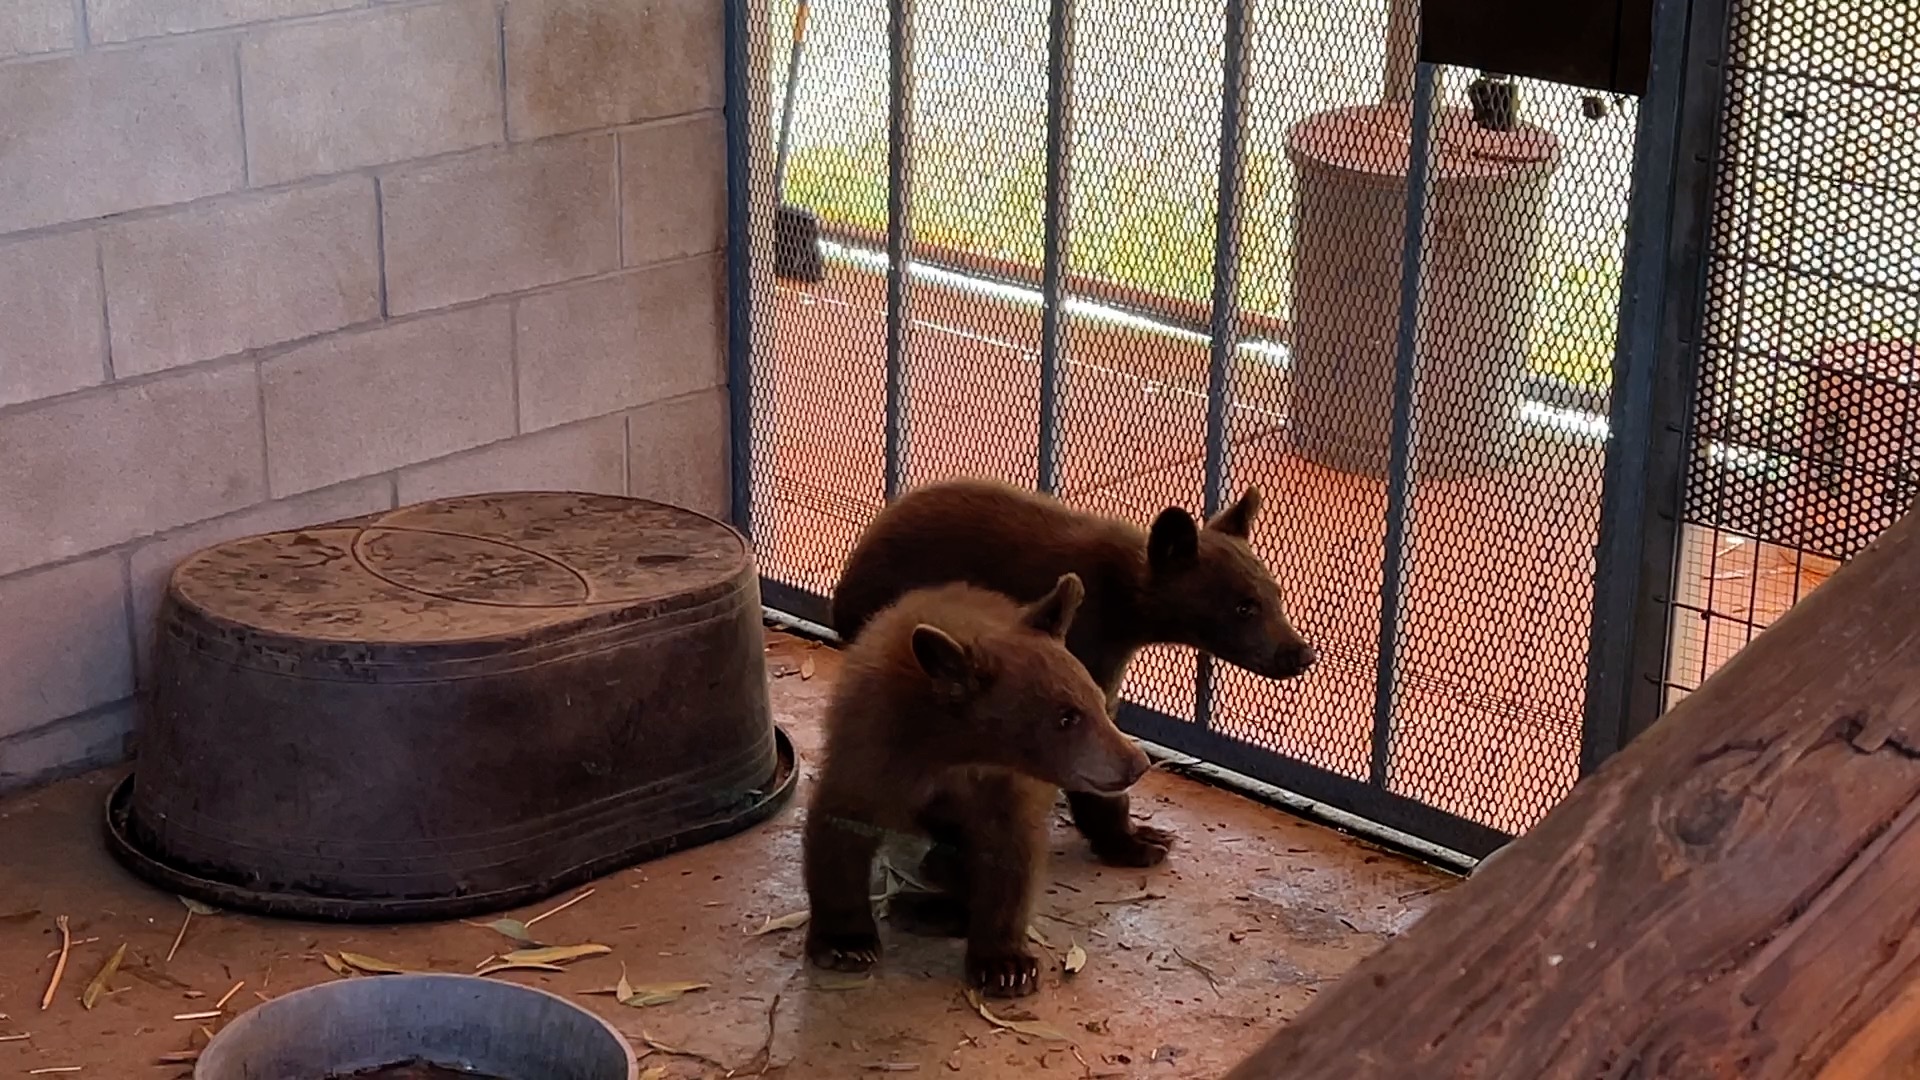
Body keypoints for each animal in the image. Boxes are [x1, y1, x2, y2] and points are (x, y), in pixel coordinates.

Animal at [803, 573, 1150, 997]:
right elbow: (841, 828)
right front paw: (846, 943)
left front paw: (1005, 965)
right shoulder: (873, 746)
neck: (953, 753)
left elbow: (1009, 855)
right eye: (1066, 717)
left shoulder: (1003, 788)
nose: (1136, 763)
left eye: (1097, 701)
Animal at [829, 477, 1314, 869]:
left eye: (1276, 594)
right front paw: (1136, 842)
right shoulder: (1085, 640)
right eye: (1244, 607)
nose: (1302, 653)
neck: (1126, 609)